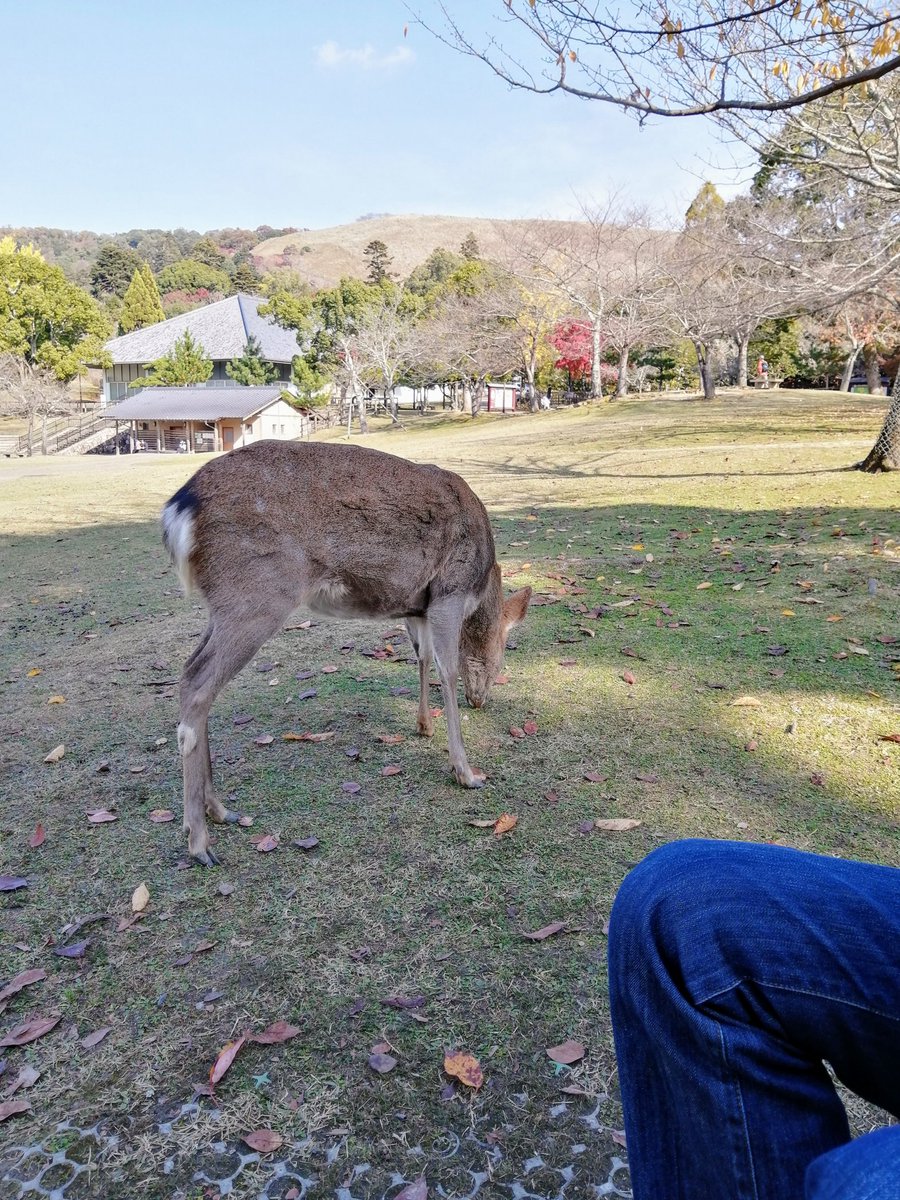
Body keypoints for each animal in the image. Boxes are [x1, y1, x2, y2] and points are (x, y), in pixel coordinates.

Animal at [161, 440, 531, 866]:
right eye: (501, 657)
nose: (481, 701)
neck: (481, 583)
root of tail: (178, 508)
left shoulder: (416, 607)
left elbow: (420, 657)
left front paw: (424, 725)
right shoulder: (448, 593)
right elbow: (447, 671)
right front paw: (466, 772)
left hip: (223, 604)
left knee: (190, 673)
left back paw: (217, 810)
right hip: (257, 594)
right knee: (196, 684)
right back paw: (200, 840)